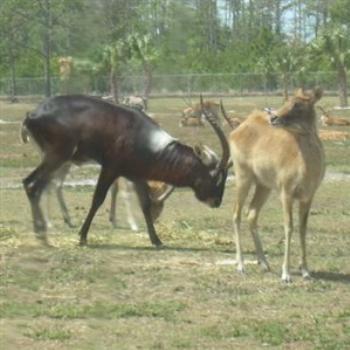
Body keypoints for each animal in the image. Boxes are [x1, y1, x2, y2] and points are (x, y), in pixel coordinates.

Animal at [21, 95, 230, 246]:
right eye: (216, 175)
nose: (217, 201)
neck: (142, 135)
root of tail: (32, 115)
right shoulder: (110, 168)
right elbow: (97, 199)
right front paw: (82, 237)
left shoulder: (137, 176)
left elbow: (145, 204)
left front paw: (156, 240)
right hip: (57, 157)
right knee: (32, 185)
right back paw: (42, 235)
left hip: (54, 159)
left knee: (36, 185)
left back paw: (42, 232)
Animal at [223, 87, 326, 282]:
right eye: (286, 99)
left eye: (298, 103)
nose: (274, 117)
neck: (306, 167)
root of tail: (237, 130)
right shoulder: (286, 192)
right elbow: (289, 226)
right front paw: (286, 274)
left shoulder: (308, 195)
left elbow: (303, 228)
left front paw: (306, 271)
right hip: (243, 176)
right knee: (235, 213)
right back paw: (240, 265)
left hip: (264, 185)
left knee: (251, 214)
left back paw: (264, 263)